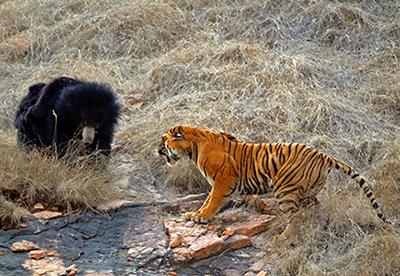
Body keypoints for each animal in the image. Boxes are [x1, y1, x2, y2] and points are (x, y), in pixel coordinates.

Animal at [157, 126, 390, 240]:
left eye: (163, 140)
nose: (157, 149)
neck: (193, 148)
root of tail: (323, 155)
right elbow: (206, 200)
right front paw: (193, 214)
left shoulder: (223, 181)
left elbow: (212, 201)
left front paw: (202, 217)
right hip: (307, 192)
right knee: (313, 209)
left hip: (284, 190)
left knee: (295, 216)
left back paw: (283, 237)